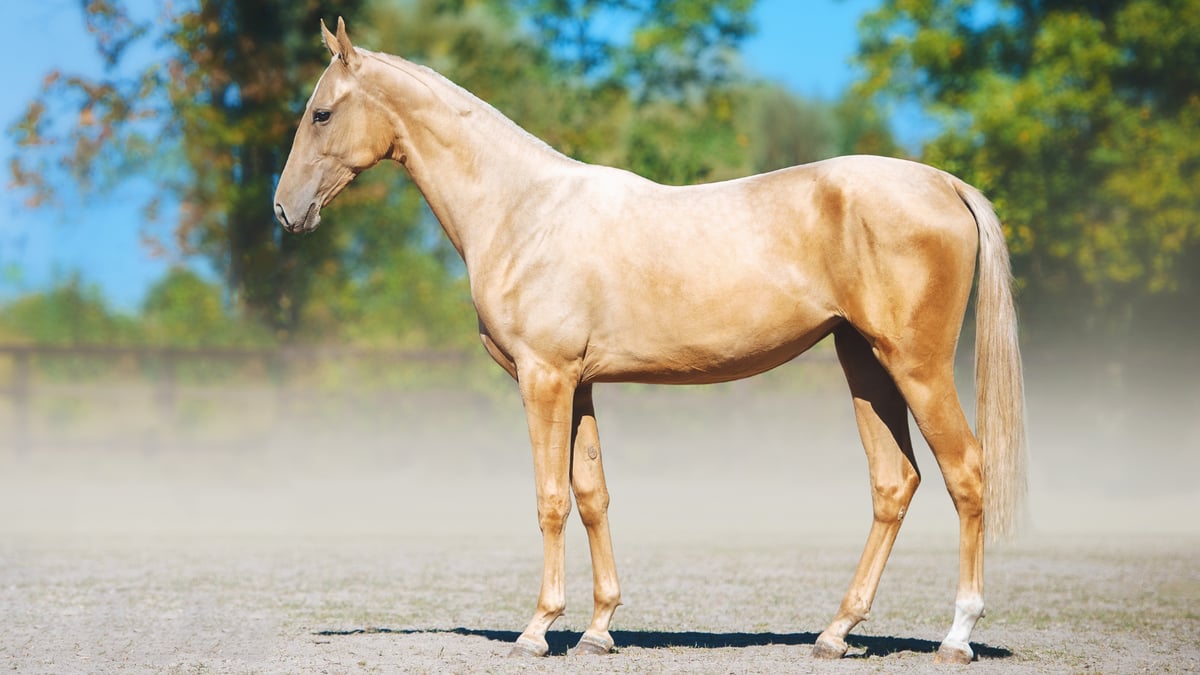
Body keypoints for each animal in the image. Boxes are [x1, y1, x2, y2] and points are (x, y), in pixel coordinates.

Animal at [274, 18, 1027, 665]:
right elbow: (591, 494)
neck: (522, 208)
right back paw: (835, 632)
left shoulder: (544, 377)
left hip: (916, 366)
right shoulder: (578, 384)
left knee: (966, 472)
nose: (285, 209)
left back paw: (956, 636)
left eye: (321, 113)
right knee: (894, 482)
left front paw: (537, 629)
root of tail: (945, 184)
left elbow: (550, 499)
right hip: (864, 363)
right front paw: (599, 629)